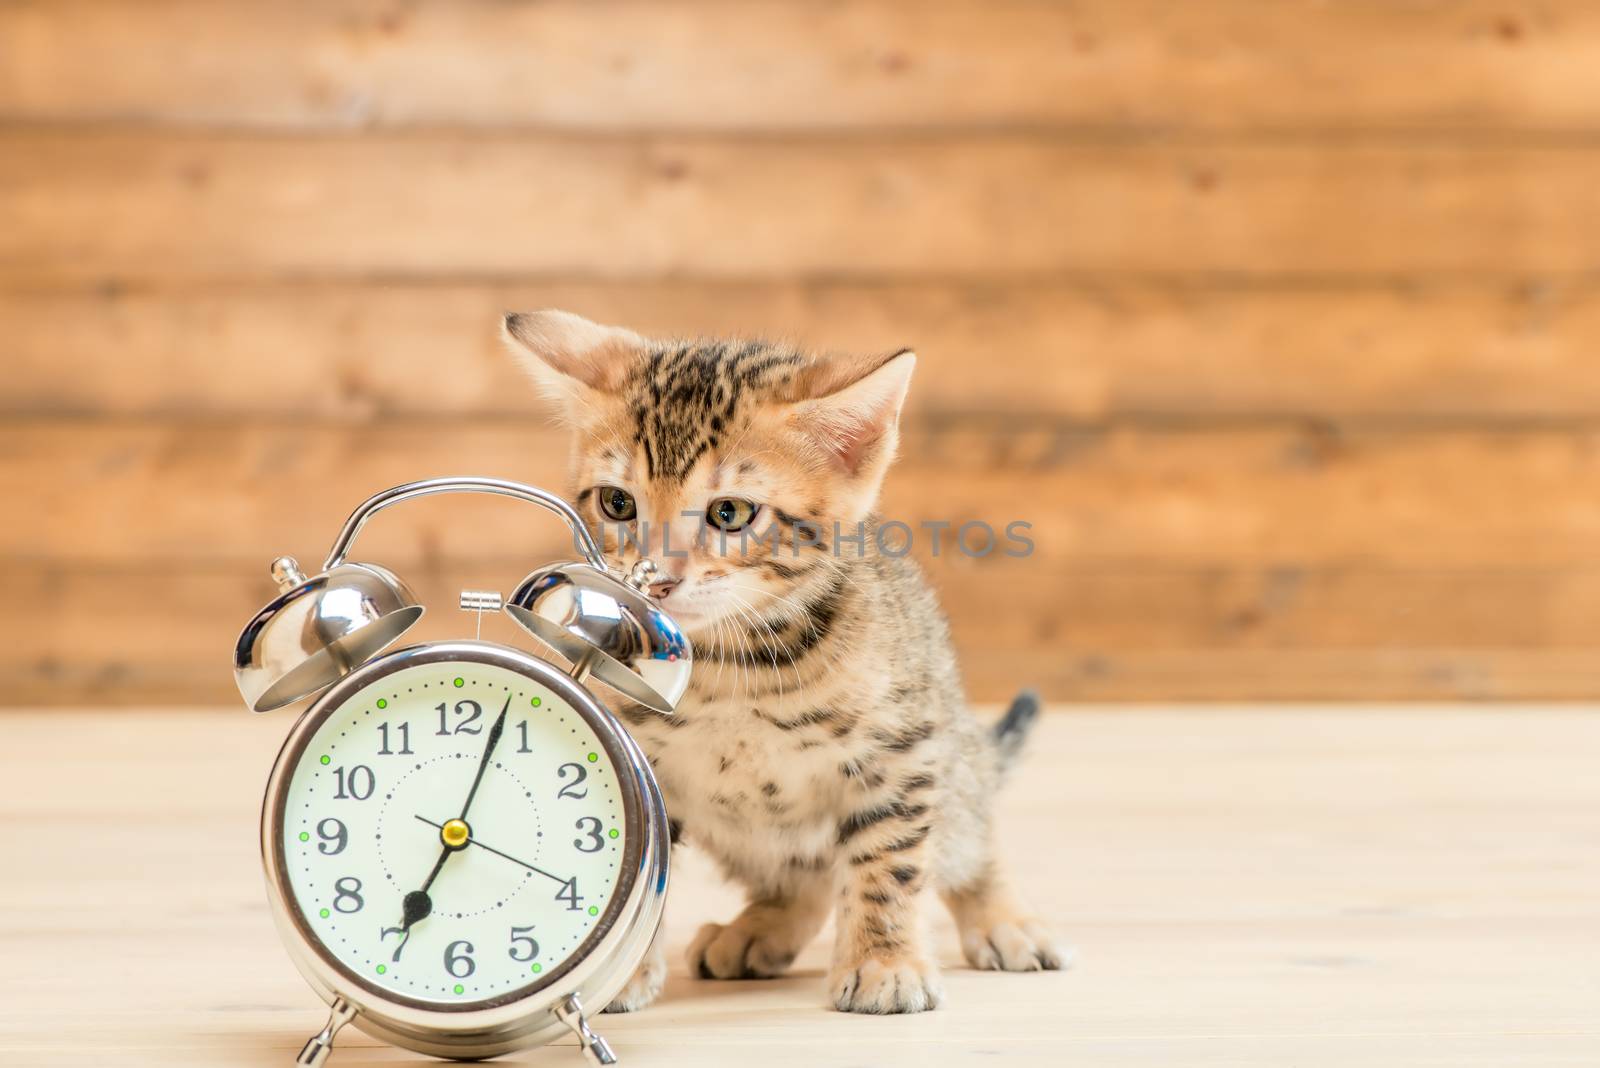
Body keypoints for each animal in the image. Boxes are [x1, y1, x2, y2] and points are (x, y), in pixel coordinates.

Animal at [505, 310, 1068, 1016]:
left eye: (730, 512)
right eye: (617, 504)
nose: (654, 581)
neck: (728, 669)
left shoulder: (901, 748)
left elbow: (889, 858)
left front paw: (885, 962)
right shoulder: (638, 757)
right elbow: (641, 864)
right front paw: (615, 967)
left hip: (952, 750)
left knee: (963, 837)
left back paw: (1005, 920)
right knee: (812, 878)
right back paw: (758, 931)